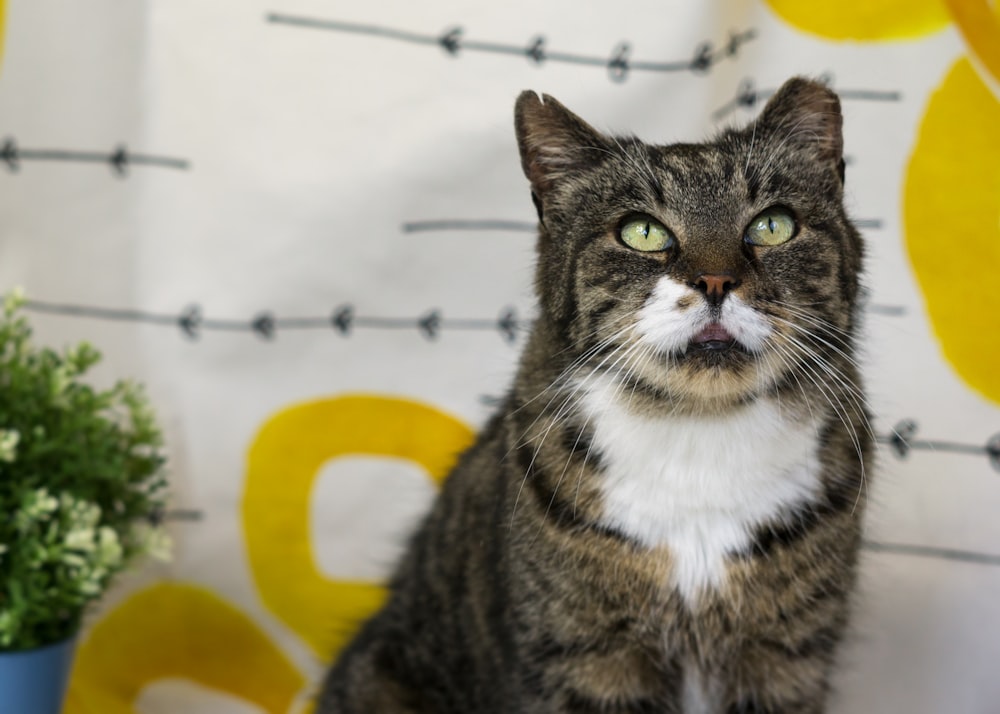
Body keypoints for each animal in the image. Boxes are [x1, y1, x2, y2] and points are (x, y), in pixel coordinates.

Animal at [316, 78, 872, 712]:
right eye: (643, 232)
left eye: (773, 224)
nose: (715, 281)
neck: (699, 437)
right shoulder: (588, 663)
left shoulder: (786, 660)